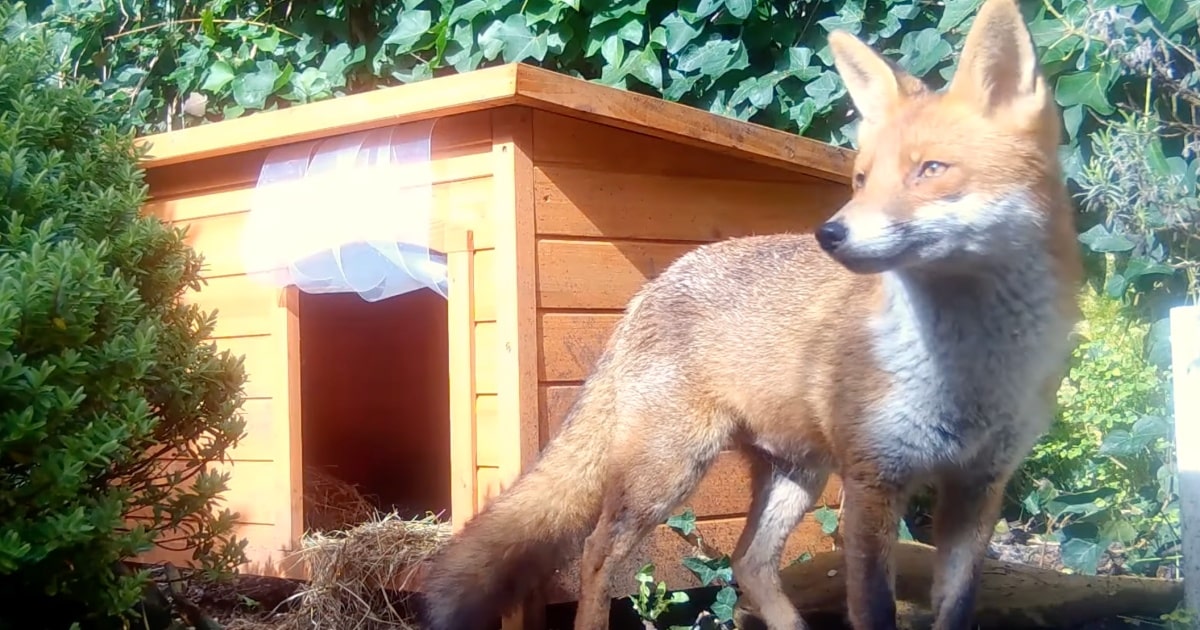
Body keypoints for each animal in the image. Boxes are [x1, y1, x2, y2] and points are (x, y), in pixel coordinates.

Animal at [417, 0, 1084, 624]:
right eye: (861, 179)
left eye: (932, 170)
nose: (830, 234)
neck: (967, 375)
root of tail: (651, 288)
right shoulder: (873, 482)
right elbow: (873, 608)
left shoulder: (980, 486)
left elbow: (956, 607)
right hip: (669, 471)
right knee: (598, 552)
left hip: (797, 473)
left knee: (748, 562)